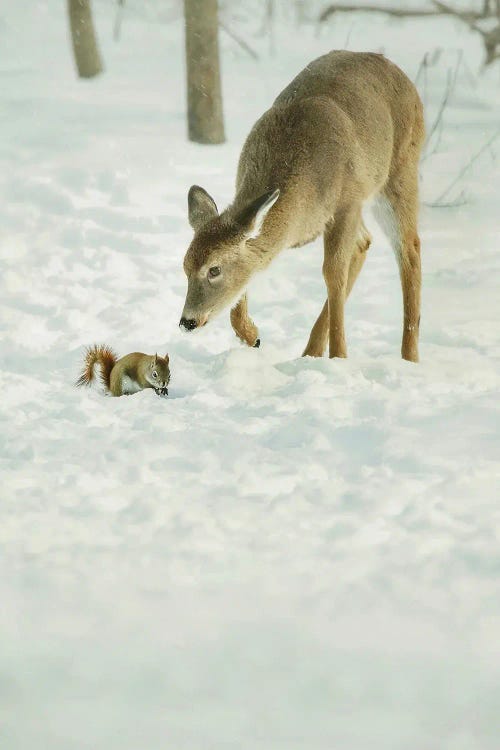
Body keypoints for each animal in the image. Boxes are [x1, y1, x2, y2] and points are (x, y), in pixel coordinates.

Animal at [178, 50, 424, 362]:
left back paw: (409, 357)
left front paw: (339, 357)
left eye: (214, 270)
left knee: (409, 249)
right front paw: (253, 336)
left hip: (400, 171)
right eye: (185, 266)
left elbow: (333, 274)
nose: (187, 321)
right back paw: (310, 351)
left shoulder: (348, 202)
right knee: (365, 242)